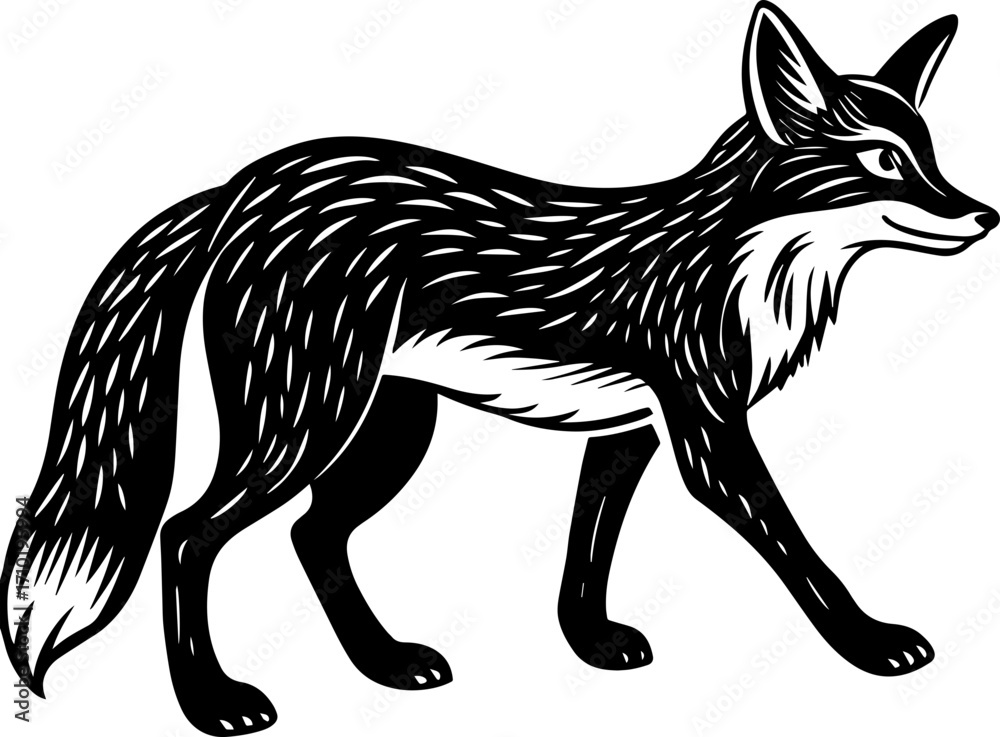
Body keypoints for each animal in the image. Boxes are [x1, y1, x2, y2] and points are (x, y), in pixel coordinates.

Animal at [3, 2, 997, 734]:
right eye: (883, 161)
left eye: (931, 156)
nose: (984, 214)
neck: (734, 264)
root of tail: (243, 184)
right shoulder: (708, 435)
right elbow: (800, 550)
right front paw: (869, 642)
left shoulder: (629, 430)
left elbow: (588, 545)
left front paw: (589, 644)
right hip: (303, 424)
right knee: (187, 534)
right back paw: (213, 702)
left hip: (385, 433)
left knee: (313, 536)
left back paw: (385, 662)